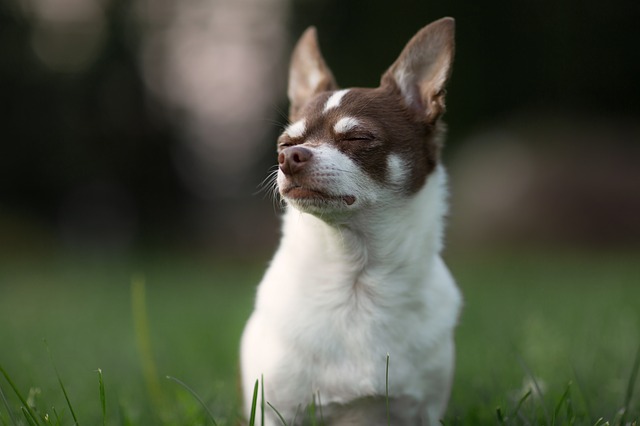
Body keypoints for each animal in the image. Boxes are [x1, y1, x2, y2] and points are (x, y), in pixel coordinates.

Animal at [240, 18, 460, 424]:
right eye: (283, 144)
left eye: (358, 137)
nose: (288, 158)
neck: (355, 280)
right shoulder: (275, 410)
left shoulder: (425, 410)